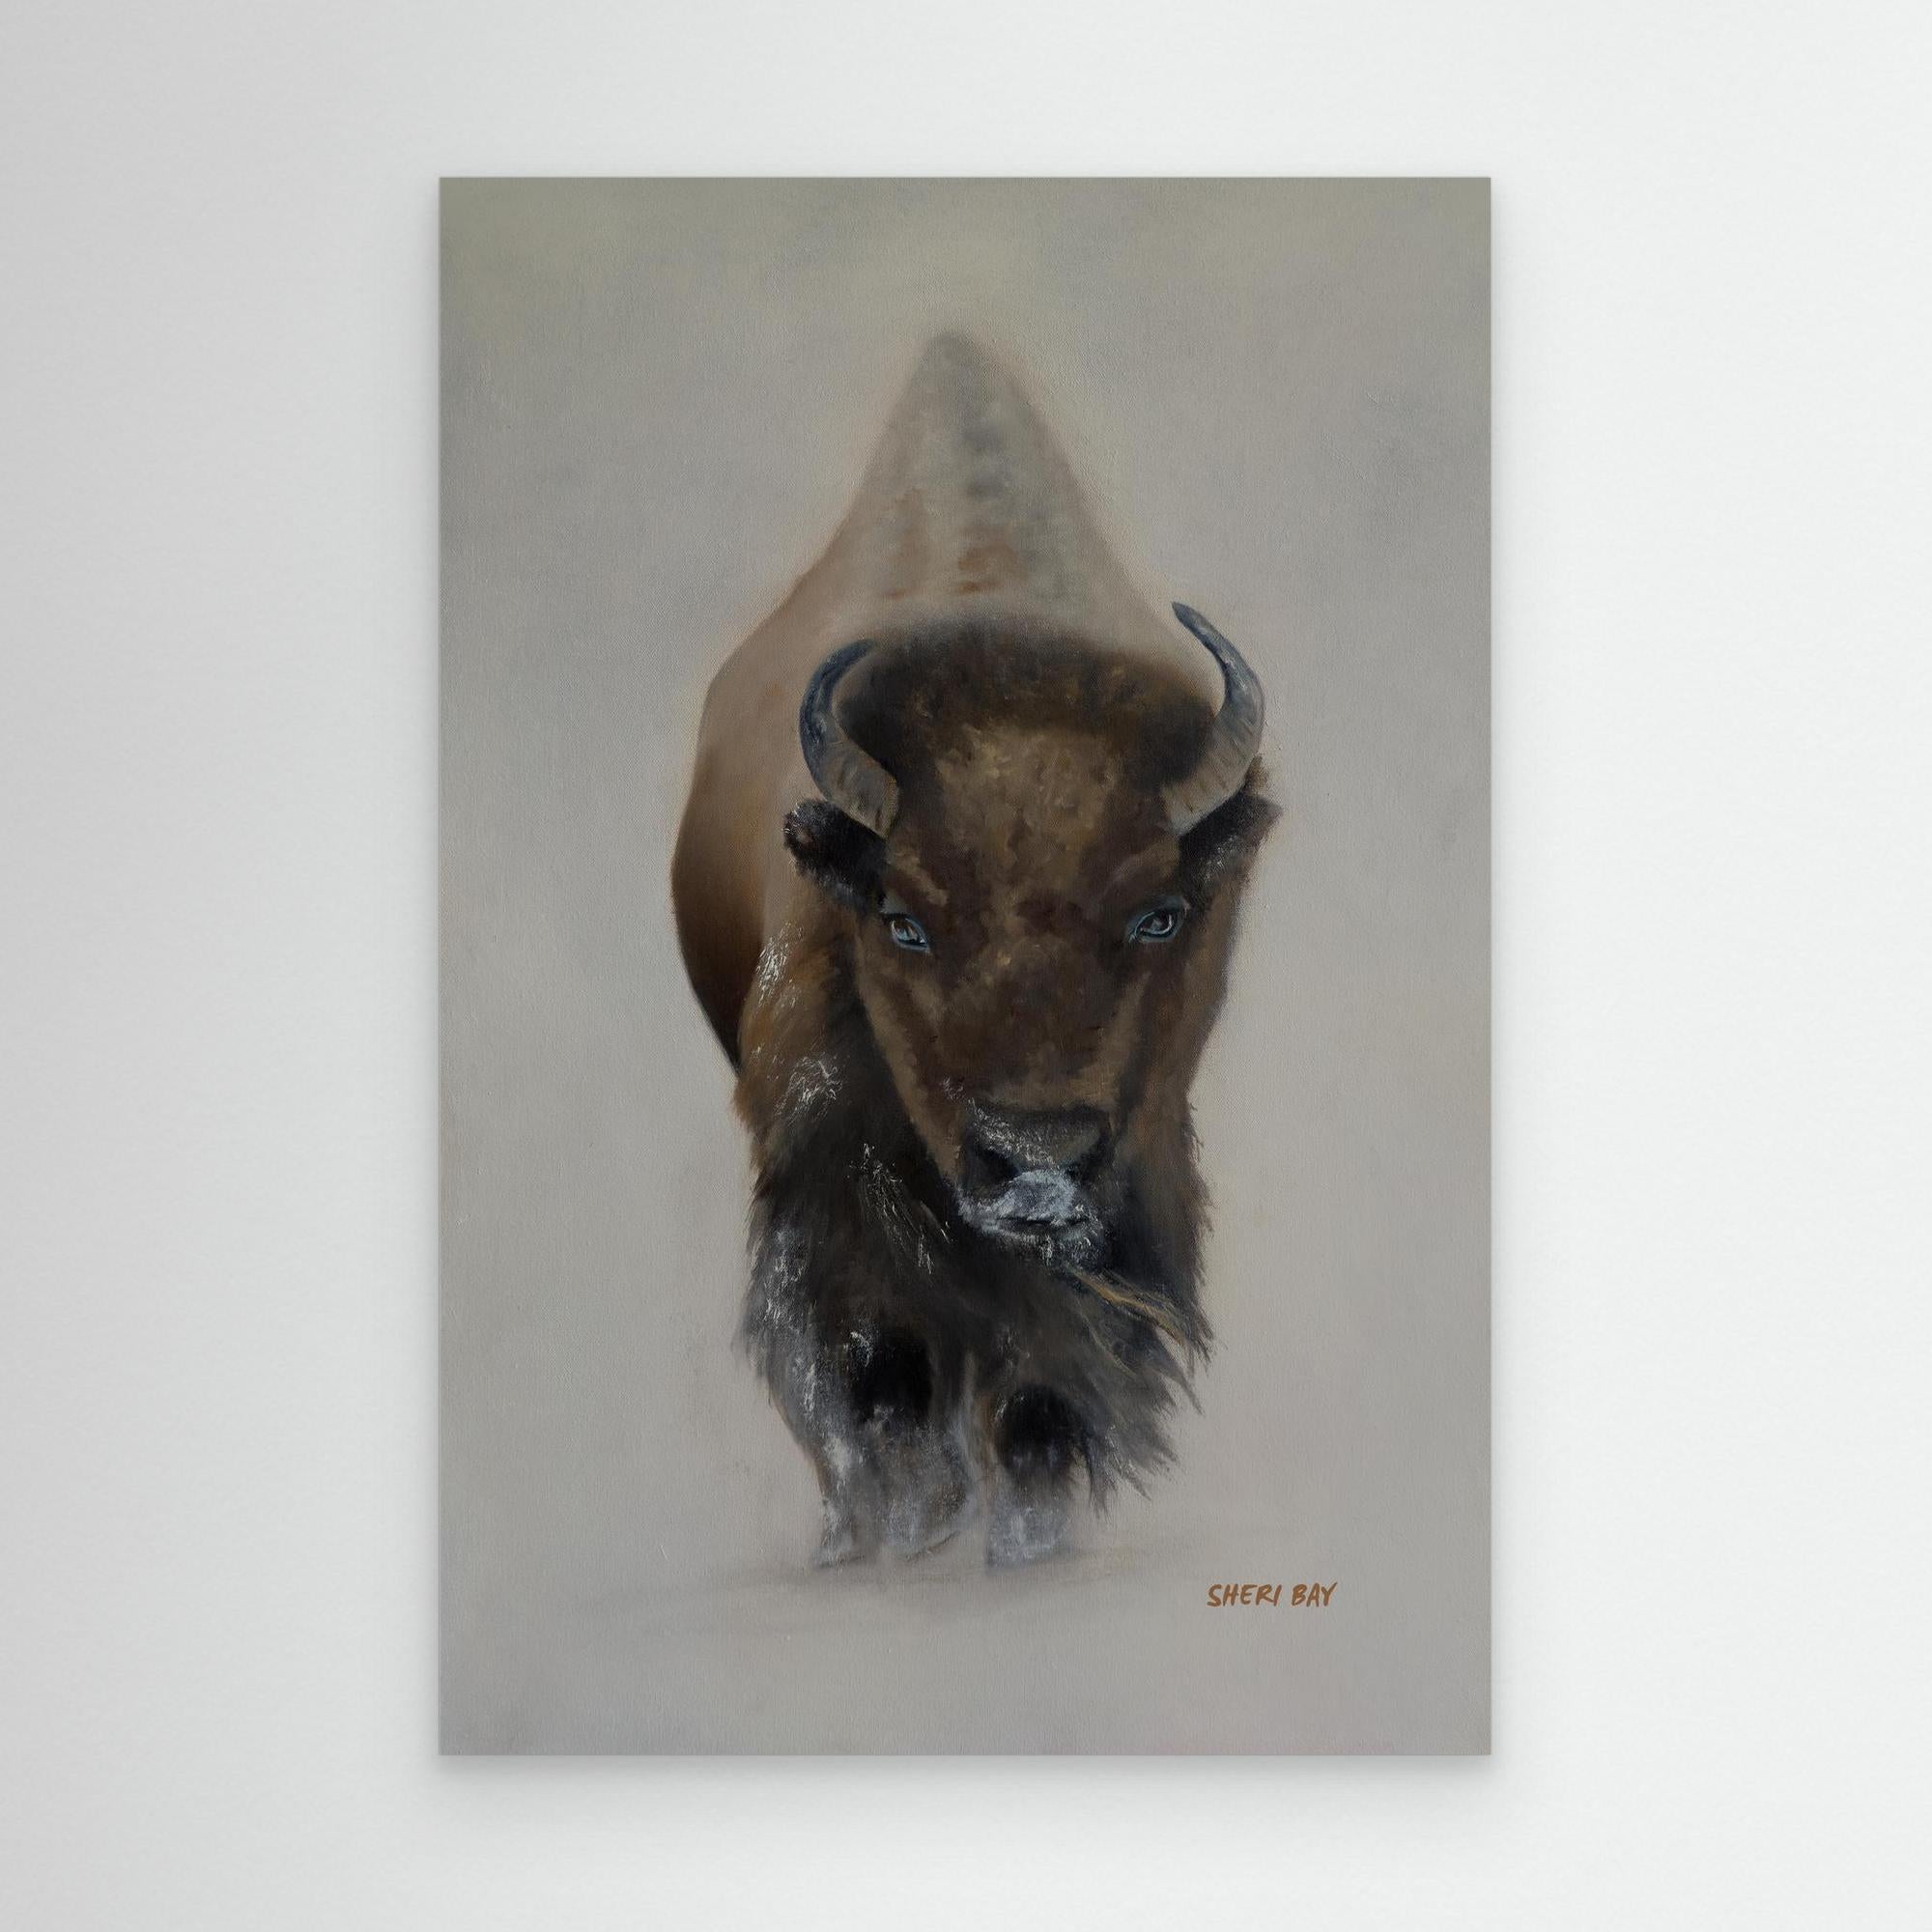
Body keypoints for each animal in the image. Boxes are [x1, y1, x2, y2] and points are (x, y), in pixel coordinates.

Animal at [672, 335, 1276, 1565]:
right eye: (901, 917)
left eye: (1159, 913)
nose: (1034, 1160)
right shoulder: (830, 1189)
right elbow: (879, 1381)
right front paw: (898, 1538)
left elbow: (1042, 1401)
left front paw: (1018, 1543)